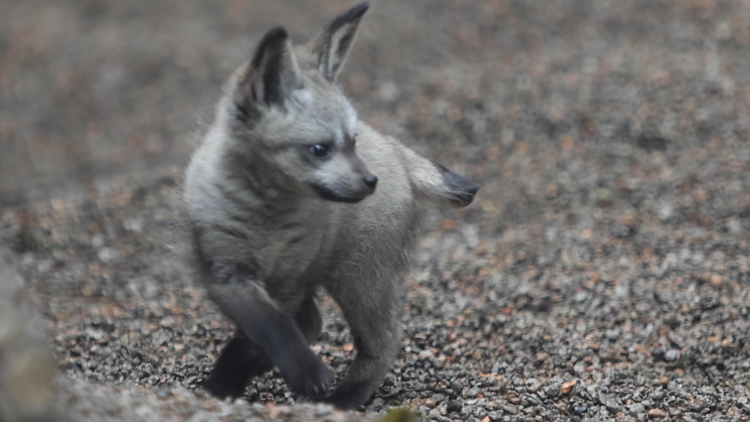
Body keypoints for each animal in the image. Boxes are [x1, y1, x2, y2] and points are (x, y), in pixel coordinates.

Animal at [183, 2, 478, 410]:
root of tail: (394, 148)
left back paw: (343, 399)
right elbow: (269, 327)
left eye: (350, 142)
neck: (266, 216)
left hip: (358, 278)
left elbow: (259, 337)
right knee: (314, 324)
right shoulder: (228, 272)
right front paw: (229, 385)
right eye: (320, 149)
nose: (371, 181)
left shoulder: (287, 281)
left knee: (383, 340)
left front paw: (225, 385)